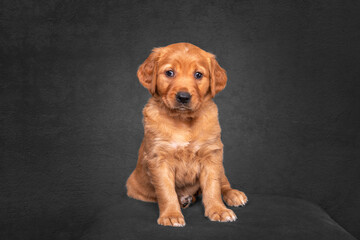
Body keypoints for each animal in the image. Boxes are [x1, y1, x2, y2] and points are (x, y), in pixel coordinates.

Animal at [126, 42, 248, 226]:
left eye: (198, 75)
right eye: (169, 73)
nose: (183, 97)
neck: (183, 121)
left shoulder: (211, 155)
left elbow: (213, 187)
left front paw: (218, 210)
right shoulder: (159, 159)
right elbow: (166, 191)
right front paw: (171, 215)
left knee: (223, 182)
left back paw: (233, 194)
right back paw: (184, 199)